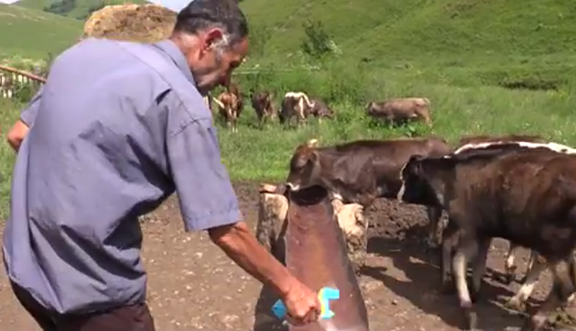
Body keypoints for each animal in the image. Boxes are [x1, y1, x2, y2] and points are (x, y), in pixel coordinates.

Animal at [396, 144, 576, 330]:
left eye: (406, 177)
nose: (398, 196)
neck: (453, 177)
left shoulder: (469, 227)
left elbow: (458, 260)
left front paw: (467, 309)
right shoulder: (482, 231)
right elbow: (479, 258)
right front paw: (472, 290)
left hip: (554, 245)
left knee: (563, 286)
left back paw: (533, 320)